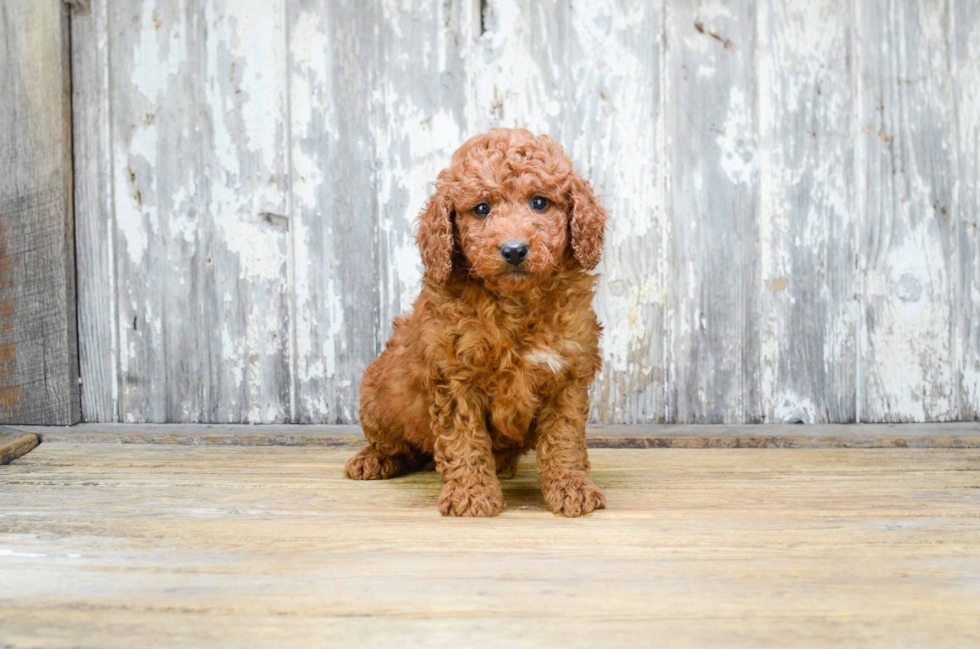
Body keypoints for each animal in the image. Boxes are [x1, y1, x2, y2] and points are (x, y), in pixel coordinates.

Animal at [342, 126, 604, 516]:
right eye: (481, 209)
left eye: (539, 202)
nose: (514, 250)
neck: (515, 302)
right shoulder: (454, 376)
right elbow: (464, 439)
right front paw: (471, 494)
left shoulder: (567, 373)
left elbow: (564, 437)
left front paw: (572, 487)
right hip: (377, 395)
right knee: (395, 445)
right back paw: (372, 460)